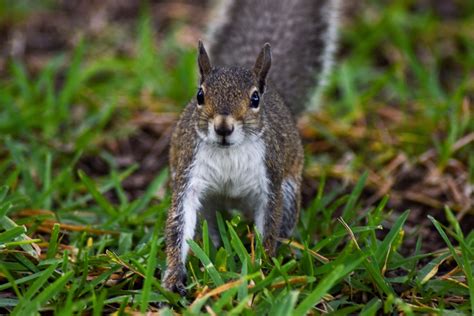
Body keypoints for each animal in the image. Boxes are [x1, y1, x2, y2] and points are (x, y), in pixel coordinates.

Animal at [163, 0, 340, 296]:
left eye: (255, 99)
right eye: (200, 95)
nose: (223, 127)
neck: (228, 151)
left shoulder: (271, 179)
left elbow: (268, 226)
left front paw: (262, 267)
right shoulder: (189, 173)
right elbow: (179, 222)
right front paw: (174, 275)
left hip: (289, 193)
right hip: (209, 206)